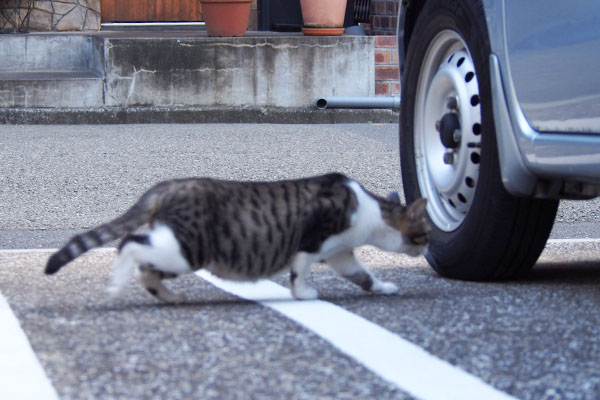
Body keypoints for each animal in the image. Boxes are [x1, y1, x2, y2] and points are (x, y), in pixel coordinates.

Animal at [45, 173, 432, 304]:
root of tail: (165, 186)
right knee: (128, 245)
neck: (370, 210)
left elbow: (362, 275)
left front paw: (383, 287)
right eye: (425, 232)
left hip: (179, 252)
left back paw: (171, 297)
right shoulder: (312, 242)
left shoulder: (341, 253)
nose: (429, 248)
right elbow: (299, 273)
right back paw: (115, 286)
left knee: (146, 270)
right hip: (186, 250)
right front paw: (304, 294)